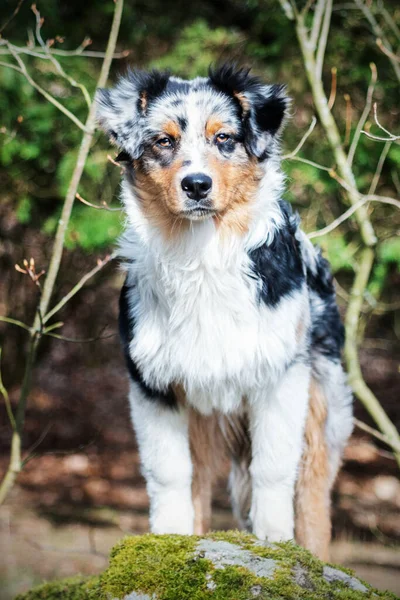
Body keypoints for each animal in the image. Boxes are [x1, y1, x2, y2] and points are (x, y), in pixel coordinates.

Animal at [97, 63, 354, 560]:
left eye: (224, 138)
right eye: (164, 141)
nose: (197, 184)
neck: (201, 253)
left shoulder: (280, 377)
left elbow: (273, 468)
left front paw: (275, 539)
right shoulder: (154, 384)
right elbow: (169, 473)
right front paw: (168, 541)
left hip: (322, 403)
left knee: (312, 491)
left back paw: (313, 554)